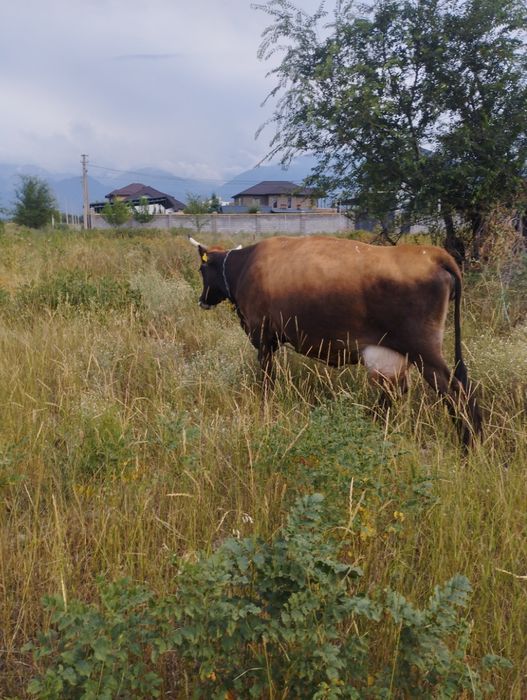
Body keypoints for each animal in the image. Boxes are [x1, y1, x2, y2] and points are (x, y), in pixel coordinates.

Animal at [189, 235, 482, 447]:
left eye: (202, 269)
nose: (202, 300)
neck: (244, 266)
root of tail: (433, 254)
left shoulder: (263, 338)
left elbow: (267, 379)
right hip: (399, 352)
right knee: (398, 391)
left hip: (424, 351)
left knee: (455, 392)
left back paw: (468, 445)